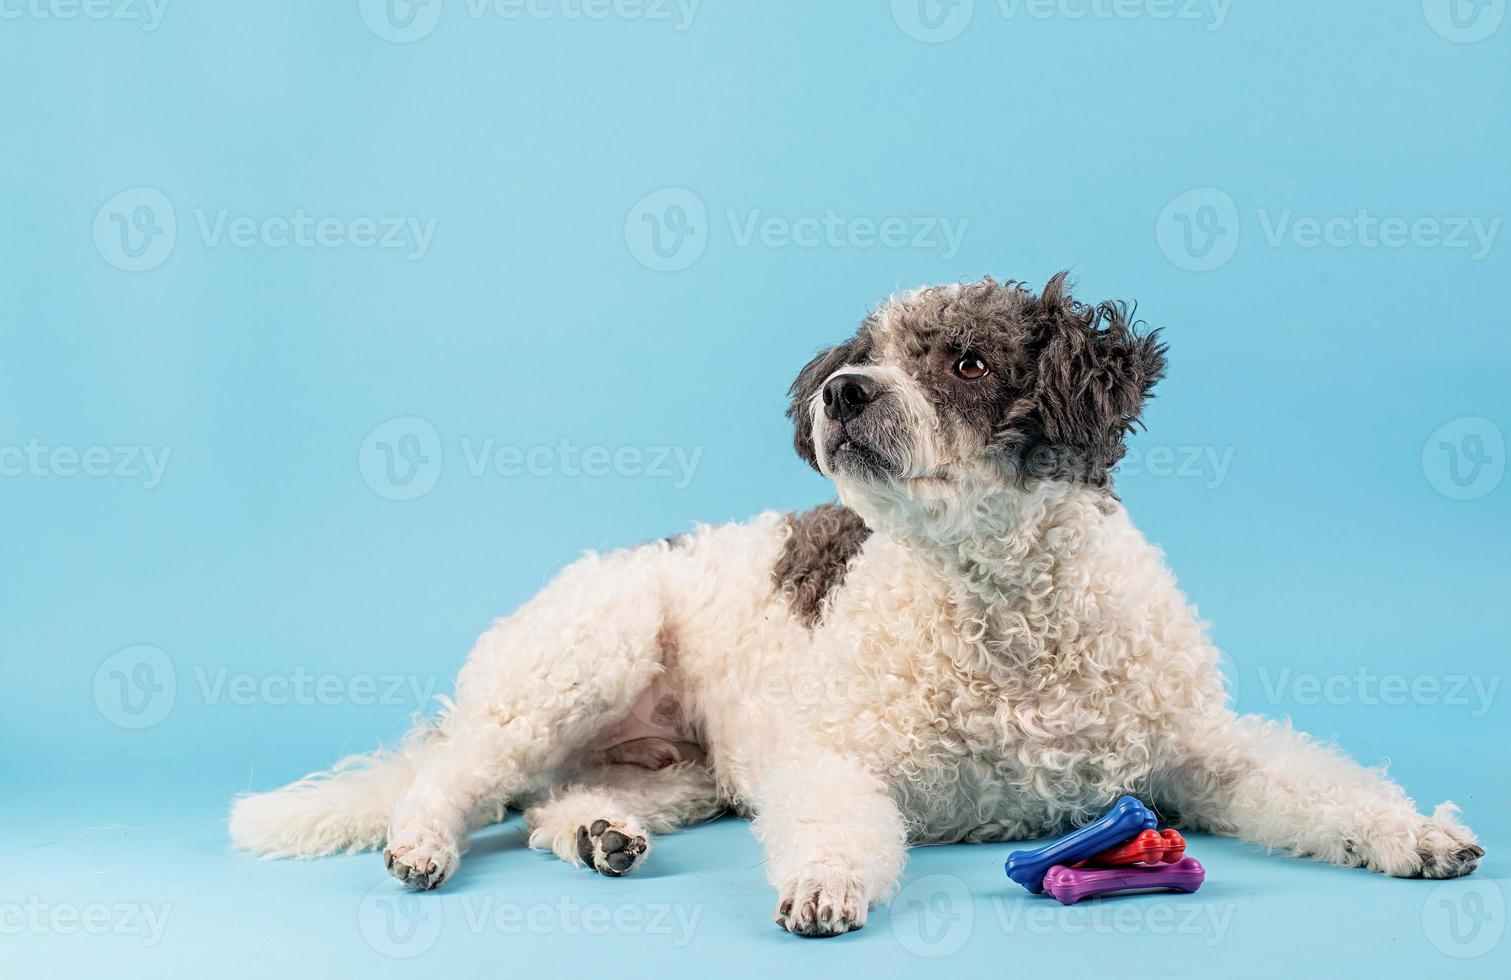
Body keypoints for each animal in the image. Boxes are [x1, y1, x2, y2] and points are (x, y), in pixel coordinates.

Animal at [229, 273, 1480, 930]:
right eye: (863, 348)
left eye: (966, 360)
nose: (840, 391)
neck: (1000, 598)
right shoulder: (835, 757)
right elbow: (838, 821)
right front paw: (828, 879)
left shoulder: (1196, 751)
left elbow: (1315, 784)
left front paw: (1410, 829)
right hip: (577, 654)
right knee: (456, 771)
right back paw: (421, 839)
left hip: (678, 764)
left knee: (550, 802)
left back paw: (598, 831)